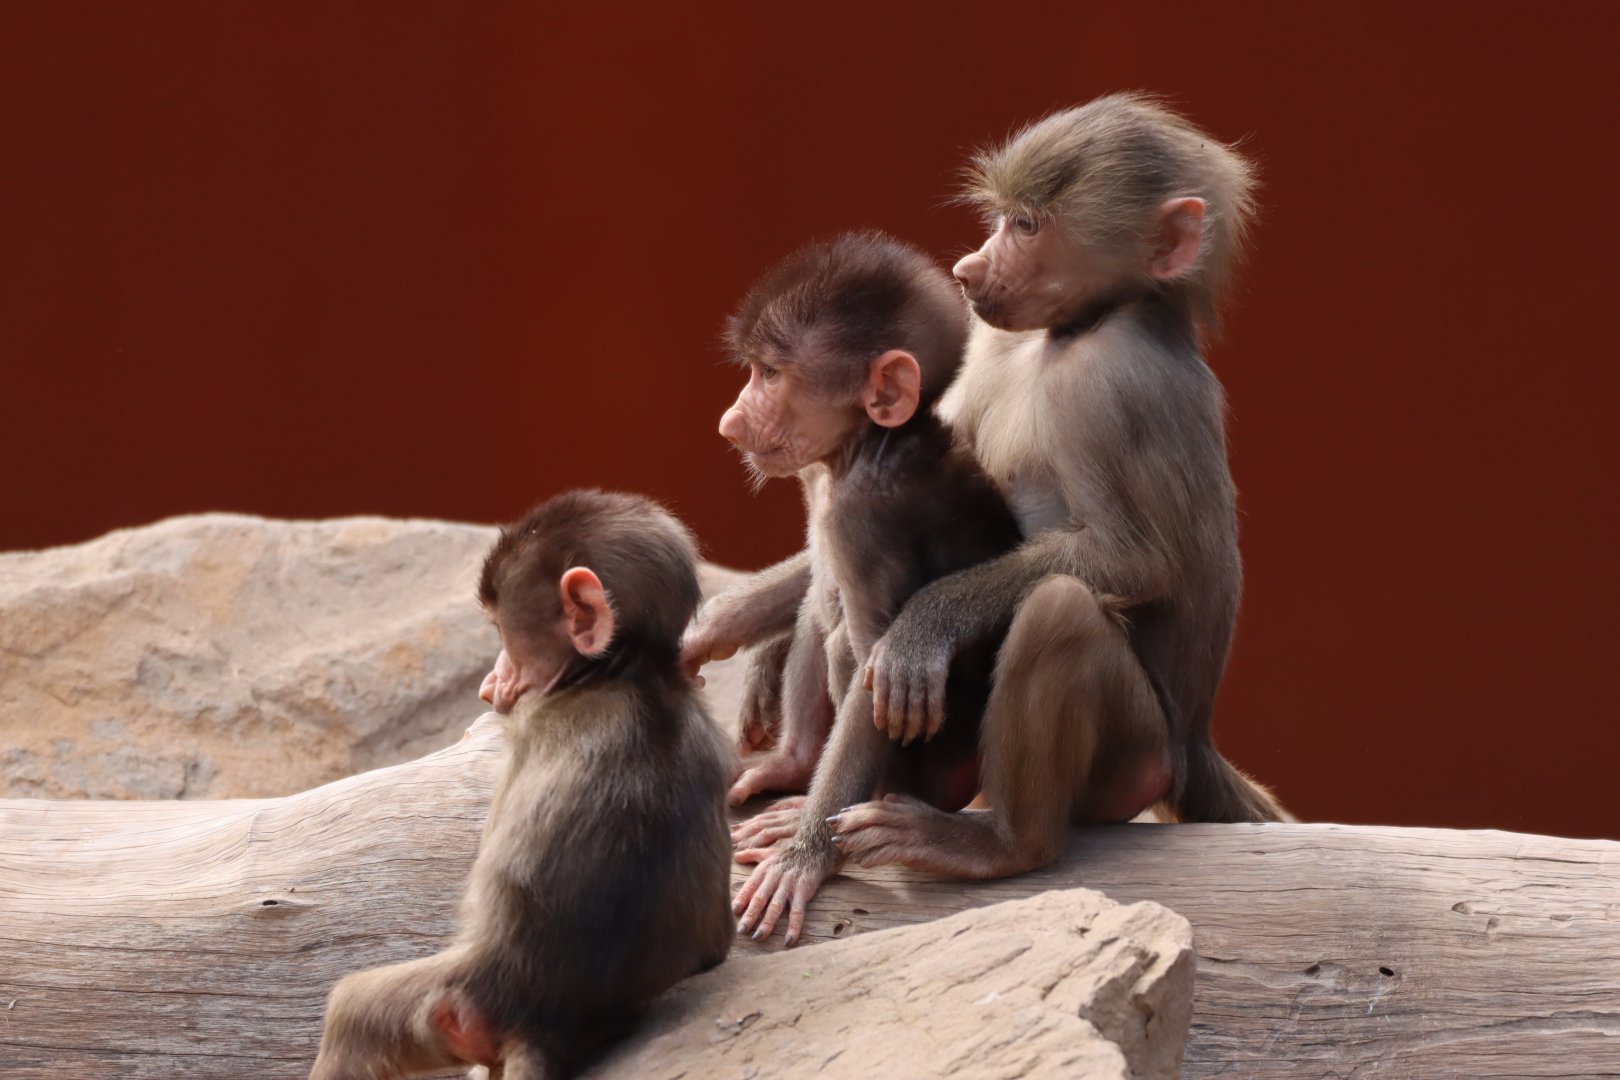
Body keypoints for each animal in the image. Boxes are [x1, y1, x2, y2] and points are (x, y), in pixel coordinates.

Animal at [310, 490, 734, 1080]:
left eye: (501, 632)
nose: (490, 680)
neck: (624, 674)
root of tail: (543, 1025)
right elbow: (717, 944)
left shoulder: (527, 733)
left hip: (451, 1007)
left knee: (352, 1012)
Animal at [698, 230, 1024, 945]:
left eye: (770, 375)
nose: (730, 422)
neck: (867, 445)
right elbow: (812, 583)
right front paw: (706, 629)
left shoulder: (859, 516)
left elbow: (880, 659)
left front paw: (805, 859)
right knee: (821, 614)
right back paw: (793, 764)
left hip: (937, 769)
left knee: (846, 639)